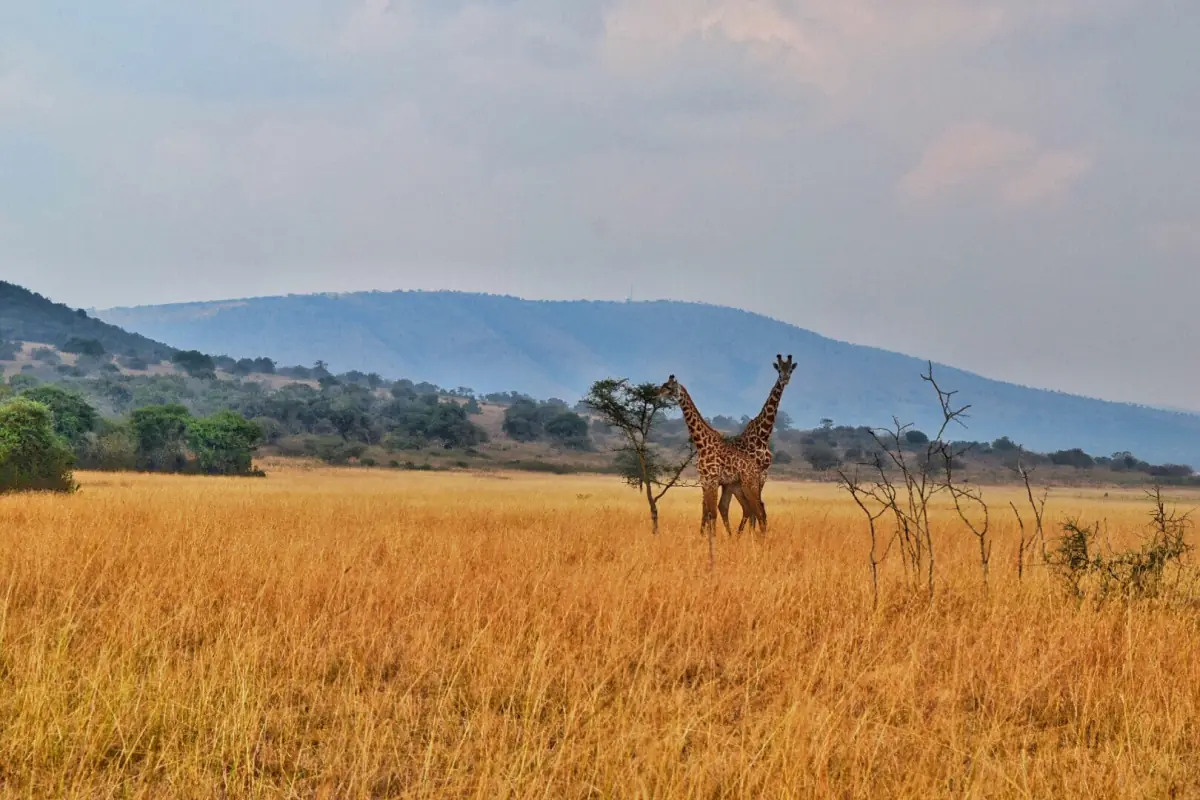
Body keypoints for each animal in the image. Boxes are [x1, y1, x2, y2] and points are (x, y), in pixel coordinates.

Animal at [657, 374, 768, 540]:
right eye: (663, 385)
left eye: (669, 387)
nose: (657, 394)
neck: (701, 444)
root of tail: (757, 469)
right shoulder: (705, 480)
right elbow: (707, 511)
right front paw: (704, 537)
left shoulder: (713, 479)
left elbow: (713, 512)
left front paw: (712, 539)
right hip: (739, 486)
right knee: (751, 509)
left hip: (750, 485)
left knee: (759, 510)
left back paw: (761, 540)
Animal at [720, 354, 797, 533]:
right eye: (779, 369)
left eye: (790, 369)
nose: (785, 379)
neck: (763, 435)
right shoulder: (752, 473)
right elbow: (756, 508)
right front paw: (753, 535)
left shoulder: (763, 474)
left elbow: (759, 507)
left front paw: (755, 534)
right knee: (729, 506)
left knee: (731, 506)